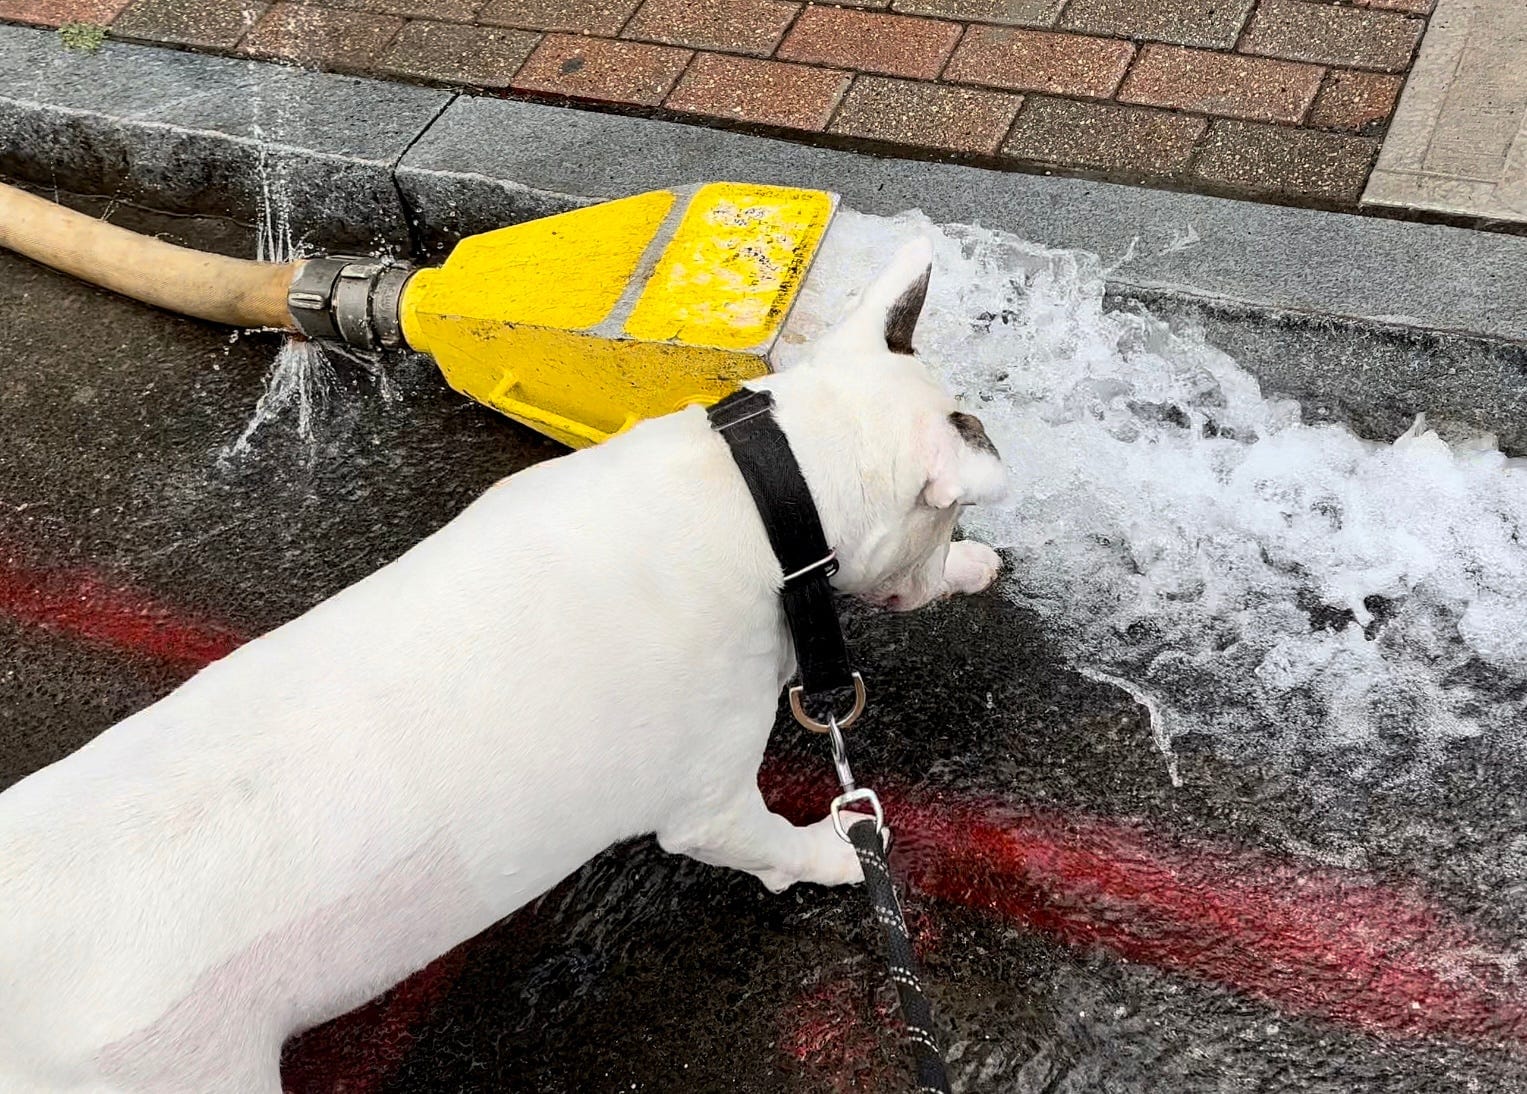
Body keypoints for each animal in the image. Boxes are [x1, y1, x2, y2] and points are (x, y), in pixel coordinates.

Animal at [0, 236, 1008, 1092]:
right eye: (947, 512)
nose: (959, 556)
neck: (770, 487)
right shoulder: (708, 802)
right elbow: (774, 844)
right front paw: (842, 851)